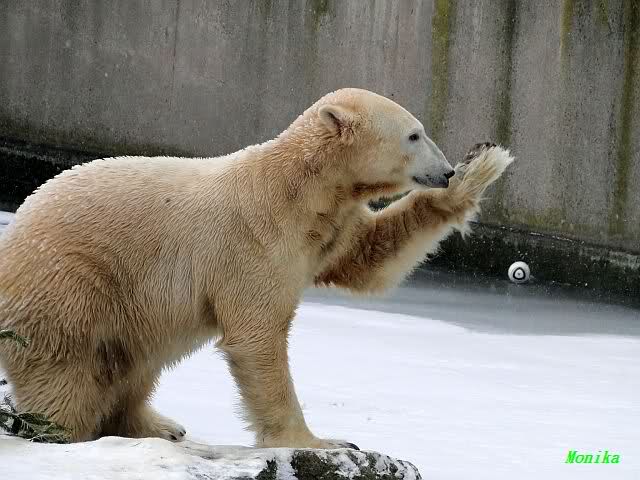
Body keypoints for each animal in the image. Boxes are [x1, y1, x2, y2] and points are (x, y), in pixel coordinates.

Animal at [0, 88, 514, 448]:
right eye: (413, 134)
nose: (444, 170)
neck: (298, 189)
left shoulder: (329, 229)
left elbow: (369, 258)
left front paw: (483, 165)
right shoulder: (253, 239)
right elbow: (257, 335)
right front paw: (320, 441)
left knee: (134, 363)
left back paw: (158, 425)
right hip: (72, 284)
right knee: (68, 372)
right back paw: (64, 430)